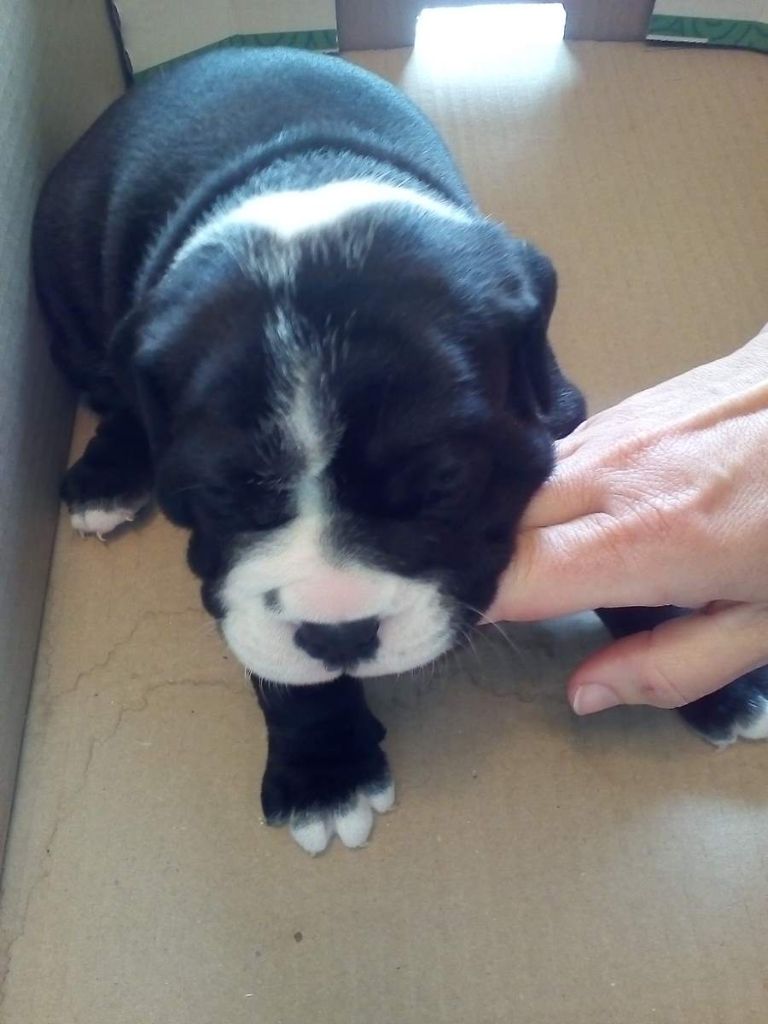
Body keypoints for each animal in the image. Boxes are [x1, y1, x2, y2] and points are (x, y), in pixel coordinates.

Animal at [33, 47, 768, 854]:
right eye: (223, 496)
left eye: (443, 485)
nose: (339, 633)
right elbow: (274, 650)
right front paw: (326, 773)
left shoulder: (561, 418)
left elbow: (627, 551)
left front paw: (715, 680)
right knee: (111, 389)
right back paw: (106, 477)